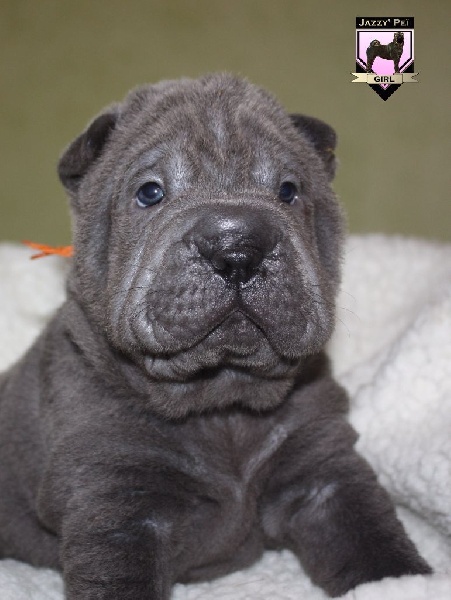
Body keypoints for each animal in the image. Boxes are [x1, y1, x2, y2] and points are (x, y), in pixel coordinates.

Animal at [0, 74, 430, 599]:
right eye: (150, 192)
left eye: (289, 190)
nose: (238, 248)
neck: (221, 403)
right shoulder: (115, 498)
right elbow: (117, 577)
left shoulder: (323, 468)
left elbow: (373, 541)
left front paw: (408, 579)